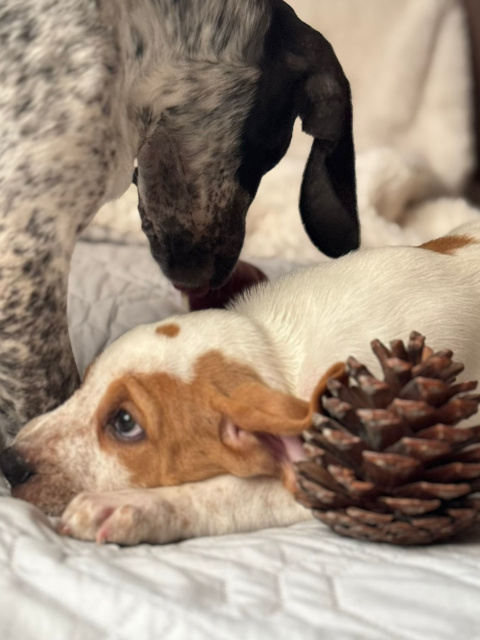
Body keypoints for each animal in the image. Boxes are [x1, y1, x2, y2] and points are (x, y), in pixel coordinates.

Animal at [1, 222, 480, 545]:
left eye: (124, 423)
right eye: (83, 385)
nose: (9, 464)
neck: (274, 351)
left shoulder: (335, 481)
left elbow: (233, 493)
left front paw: (132, 505)